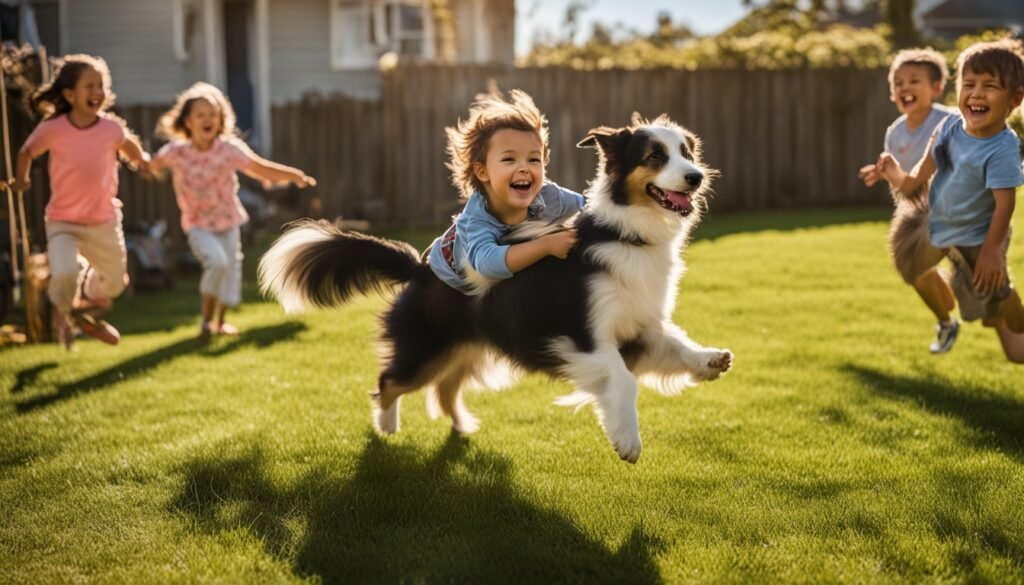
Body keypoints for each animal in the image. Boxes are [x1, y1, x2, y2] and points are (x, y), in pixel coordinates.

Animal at [260, 113, 733, 463]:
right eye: (654, 156)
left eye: (686, 152)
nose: (696, 176)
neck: (624, 234)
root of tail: (420, 269)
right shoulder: (582, 337)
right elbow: (623, 378)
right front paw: (628, 441)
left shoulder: (638, 328)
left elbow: (674, 344)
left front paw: (710, 360)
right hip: (425, 351)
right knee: (389, 380)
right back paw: (386, 426)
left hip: (466, 349)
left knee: (444, 389)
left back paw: (461, 427)